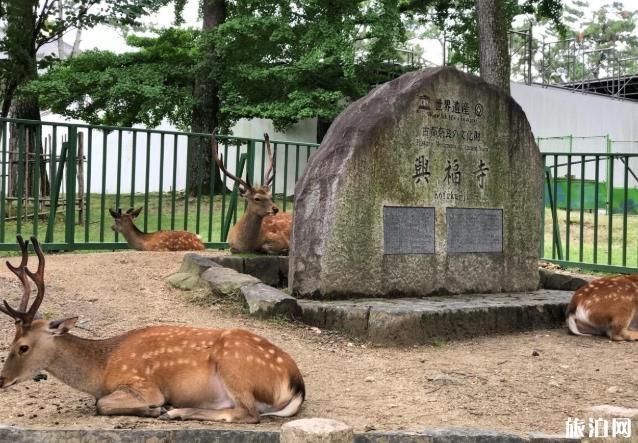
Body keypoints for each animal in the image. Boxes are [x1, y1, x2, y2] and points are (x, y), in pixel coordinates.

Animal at [0, 236, 308, 424]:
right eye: (11, 342)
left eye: (22, 347)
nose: (2, 379)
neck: (101, 370)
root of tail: (296, 384)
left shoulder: (142, 383)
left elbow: (100, 405)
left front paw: (155, 409)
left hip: (234, 365)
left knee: (249, 413)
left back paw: (173, 411)